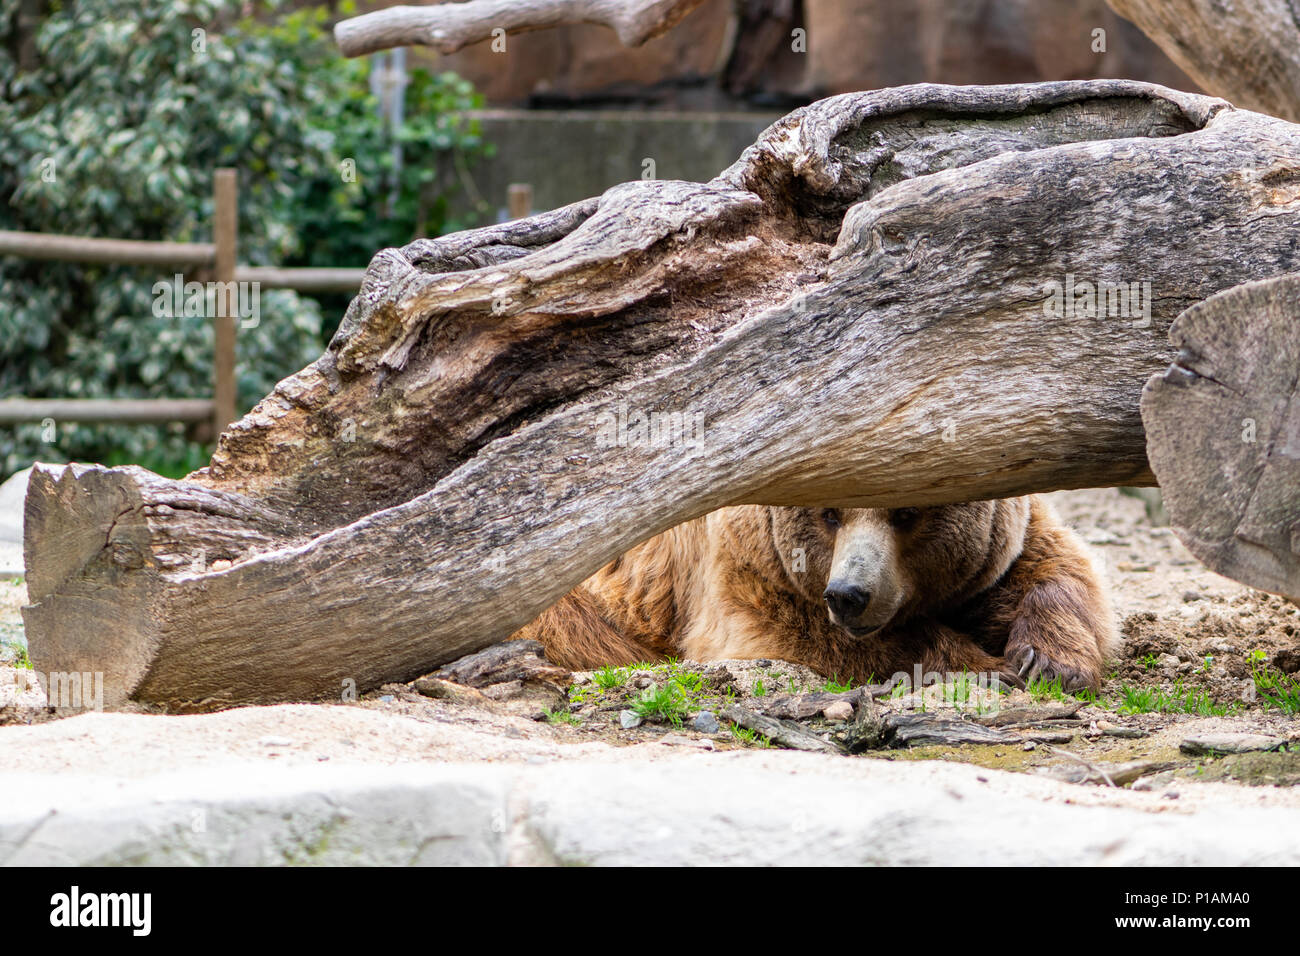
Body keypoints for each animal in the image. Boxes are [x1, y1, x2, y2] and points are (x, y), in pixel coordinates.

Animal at [514, 496, 1118, 691]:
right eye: (830, 514)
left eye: (906, 514)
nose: (849, 594)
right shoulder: (743, 567)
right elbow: (785, 636)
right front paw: (984, 665)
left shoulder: (1008, 536)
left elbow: (1055, 566)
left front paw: (1048, 660)